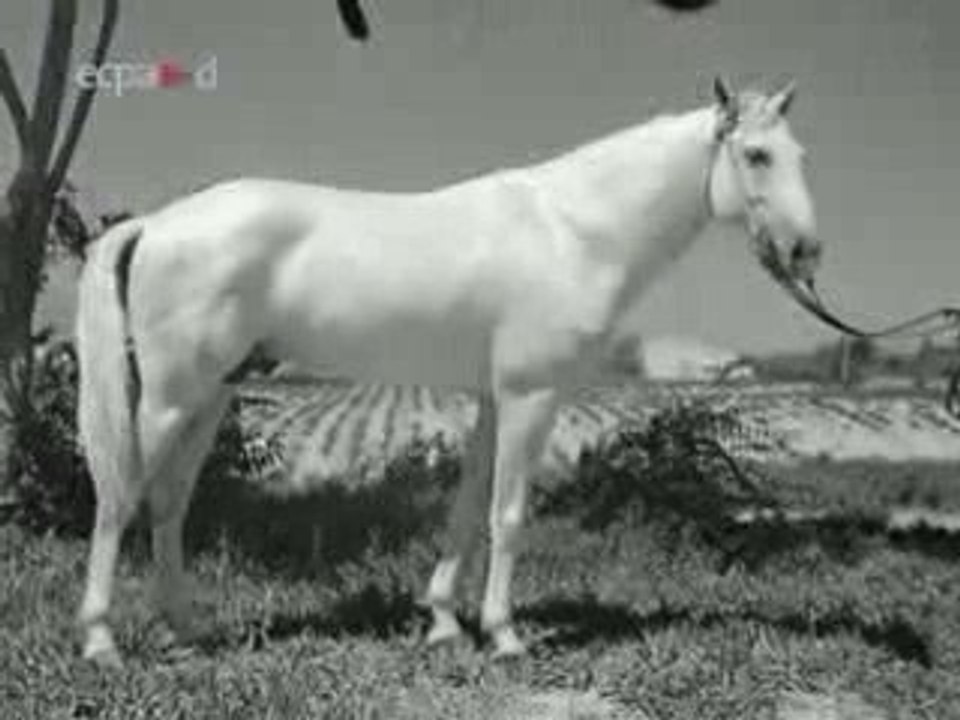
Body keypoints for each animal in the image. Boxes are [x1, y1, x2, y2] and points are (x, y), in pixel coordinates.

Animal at [75, 77, 820, 666]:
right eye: (757, 155)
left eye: (799, 155)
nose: (806, 251)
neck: (572, 231)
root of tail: (156, 223)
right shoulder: (530, 397)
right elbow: (508, 514)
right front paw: (505, 636)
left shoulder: (493, 400)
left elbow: (466, 510)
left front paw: (442, 625)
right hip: (167, 401)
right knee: (119, 499)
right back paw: (102, 641)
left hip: (208, 396)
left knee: (169, 503)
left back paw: (183, 628)